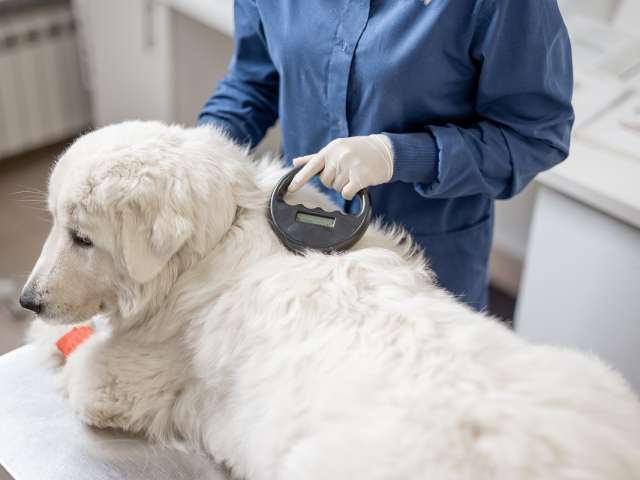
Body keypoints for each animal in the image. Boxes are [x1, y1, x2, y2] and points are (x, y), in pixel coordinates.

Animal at [20, 123, 640, 480]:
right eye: (54, 224)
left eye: (82, 238)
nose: (26, 300)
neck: (223, 232)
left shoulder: (120, 380)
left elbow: (82, 357)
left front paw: (46, 335)